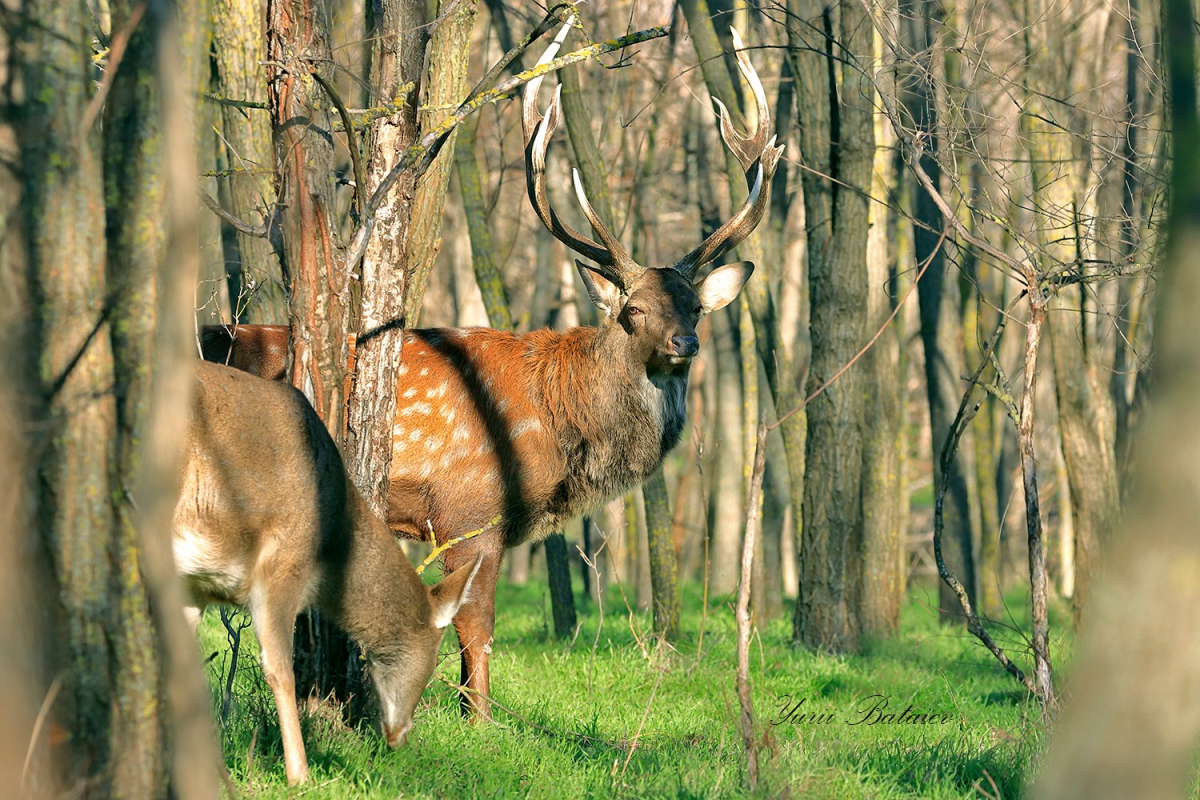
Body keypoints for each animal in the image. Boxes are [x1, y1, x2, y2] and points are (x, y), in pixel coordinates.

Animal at [175, 364, 482, 786]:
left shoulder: (197, 585)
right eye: (436, 659)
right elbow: (280, 670)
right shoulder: (282, 566)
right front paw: (299, 774)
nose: (399, 735)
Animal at [201, 28, 782, 724]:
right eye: (633, 309)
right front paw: (479, 718)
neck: (558, 427)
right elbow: (475, 621)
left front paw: (465, 710)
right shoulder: (468, 507)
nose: (684, 343)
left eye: (694, 306)